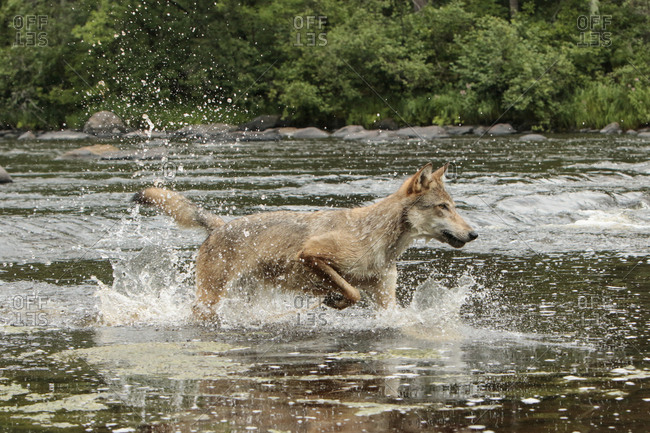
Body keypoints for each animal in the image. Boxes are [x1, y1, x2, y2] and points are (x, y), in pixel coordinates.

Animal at [133, 163, 477, 319]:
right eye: (443, 207)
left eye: (454, 206)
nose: (474, 234)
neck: (377, 238)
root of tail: (219, 225)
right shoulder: (311, 254)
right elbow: (351, 290)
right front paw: (334, 300)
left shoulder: (386, 300)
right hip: (210, 298)